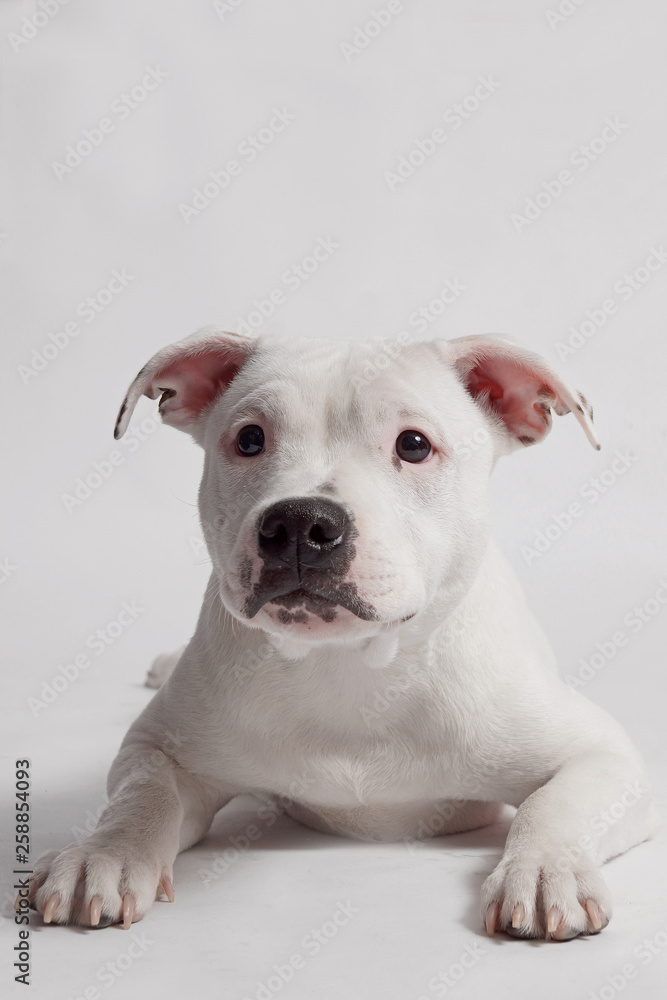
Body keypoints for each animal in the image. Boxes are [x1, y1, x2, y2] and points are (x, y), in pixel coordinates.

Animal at [28, 328, 656, 936]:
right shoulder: (156, 746)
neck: (351, 667)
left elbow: (553, 803)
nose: (300, 522)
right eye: (250, 439)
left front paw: (547, 869)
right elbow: (142, 797)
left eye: (413, 445)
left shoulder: (606, 757)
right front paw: (105, 855)